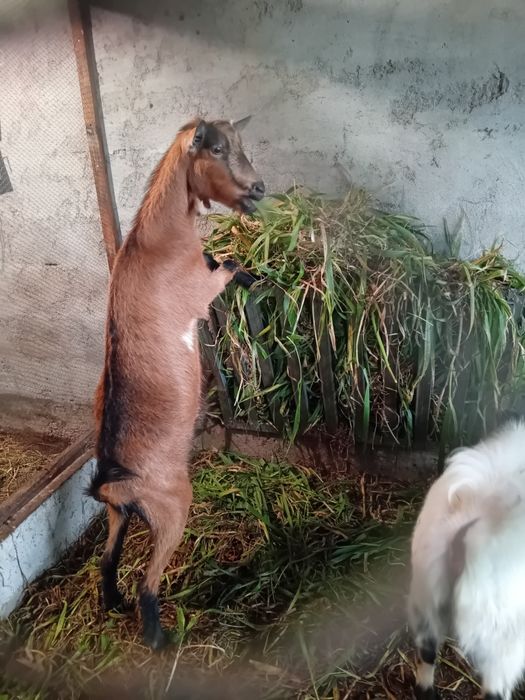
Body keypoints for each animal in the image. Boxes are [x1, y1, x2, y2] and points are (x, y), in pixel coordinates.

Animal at [89, 116, 265, 650]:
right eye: (217, 148)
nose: (259, 189)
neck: (157, 238)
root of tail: (113, 484)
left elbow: (218, 257)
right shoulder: (200, 288)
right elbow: (225, 263)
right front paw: (253, 276)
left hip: (119, 516)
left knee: (107, 560)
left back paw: (113, 602)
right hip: (171, 507)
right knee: (148, 584)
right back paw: (159, 638)